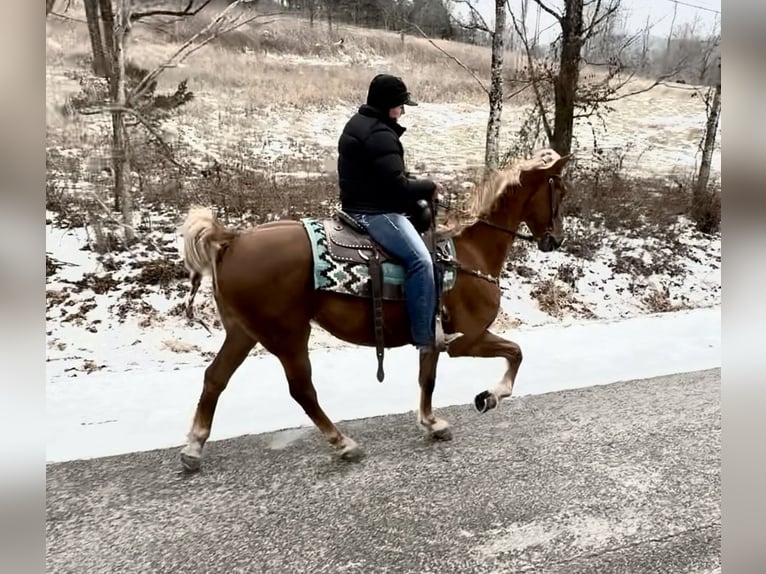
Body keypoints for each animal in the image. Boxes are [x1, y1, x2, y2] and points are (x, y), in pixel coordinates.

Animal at [178, 148, 570, 471]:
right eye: (561, 191)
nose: (555, 240)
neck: (470, 253)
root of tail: (232, 240)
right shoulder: (467, 340)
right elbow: (516, 352)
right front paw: (490, 396)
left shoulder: (432, 339)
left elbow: (427, 379)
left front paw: (432, 423)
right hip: (288, 335)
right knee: (302, 390)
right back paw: (343, 444)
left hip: (243, 332)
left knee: (215, 378)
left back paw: (194, 448)